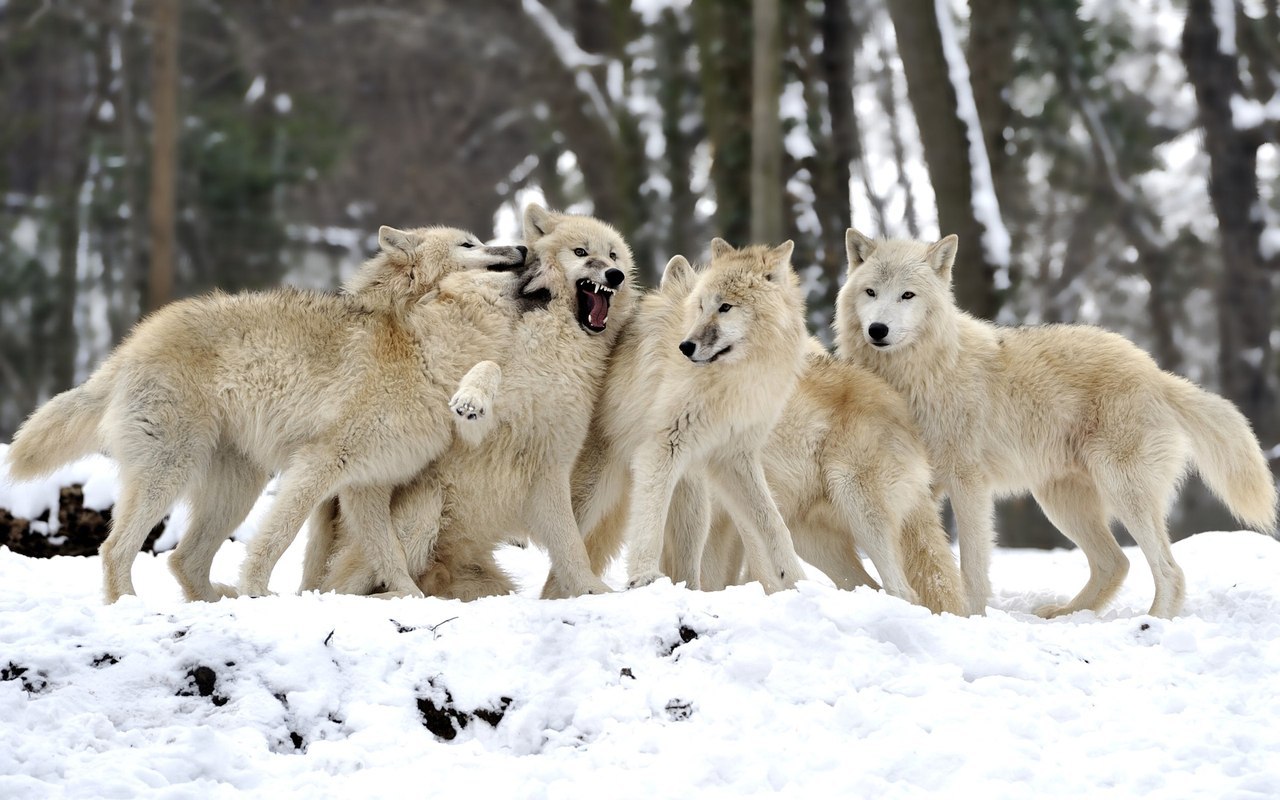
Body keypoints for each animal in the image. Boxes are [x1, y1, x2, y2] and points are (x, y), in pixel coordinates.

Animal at [6, 225, 524, 599]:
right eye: (469, 244)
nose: (521, 247)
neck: (419, 351)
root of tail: (130, 345)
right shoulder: (319, 465)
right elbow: (279, 538)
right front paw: (258, 590)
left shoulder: (366, 486)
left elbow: (390, 555)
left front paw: (411, 600)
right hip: (171, 472)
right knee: (115, 549)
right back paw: (135, 608)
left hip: (237, 488)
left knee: (183, 559)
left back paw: (218, 602)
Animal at [304, 206, 634, 599]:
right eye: (581, 252)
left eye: (613, 255)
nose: (614, 274)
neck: (556, 341)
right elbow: (489, 368)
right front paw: (471, 399)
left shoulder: (551, 464)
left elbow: (572, 547)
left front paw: (592, 591)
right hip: (424, 507)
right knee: (347, 587)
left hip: (487, 581)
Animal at [560, 236, 808, 593]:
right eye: (702, 306)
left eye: (725, 307)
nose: (685, 347)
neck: (735, 378)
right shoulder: (663, 447)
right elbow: (649, 520)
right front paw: (643, 577)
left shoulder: (734, 456)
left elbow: (773, 523)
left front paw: (798, 579)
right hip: (591, 494)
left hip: (694, 501)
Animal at [834, 227, 1274, 614]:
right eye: (871, 292)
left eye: (907, 295)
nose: (878, 329)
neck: (918, 375)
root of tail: (1156, 373)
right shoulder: (920, 485)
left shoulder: (967, 481)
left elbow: (971, 565)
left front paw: (971, 615)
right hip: (1061, 503)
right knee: (1116, 563)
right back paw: (1065, 616)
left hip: (1121, 492)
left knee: (1170, 571)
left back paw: (1153, 622)